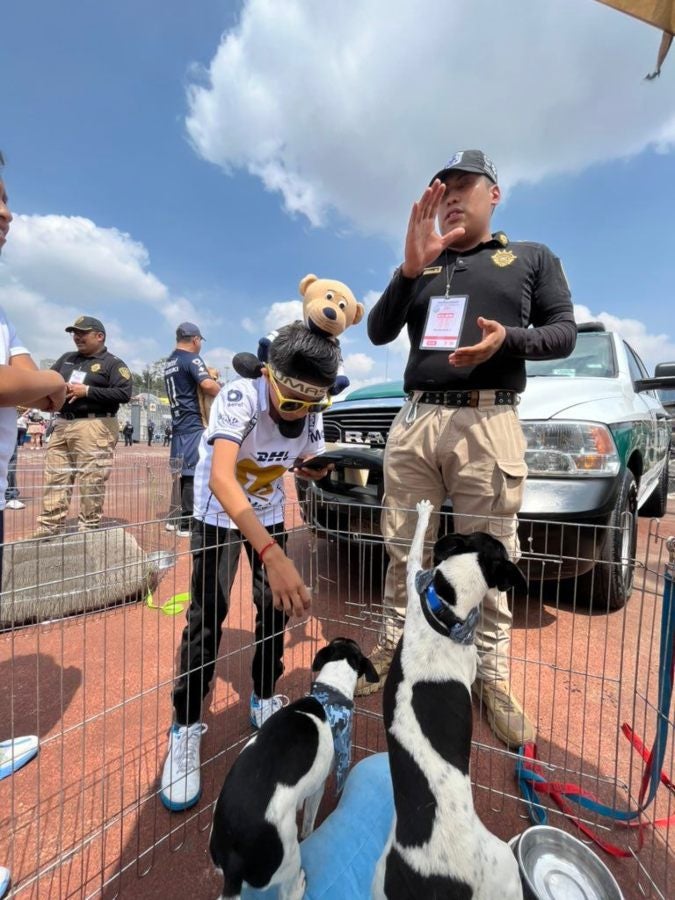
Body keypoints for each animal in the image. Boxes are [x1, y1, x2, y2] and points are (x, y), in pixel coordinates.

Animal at [374, 500, 528, 900]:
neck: (445, 612)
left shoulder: (415, 587)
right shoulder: (416, 574)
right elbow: (415, 543)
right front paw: (426, 511)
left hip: (378, 878)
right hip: (504, 866)